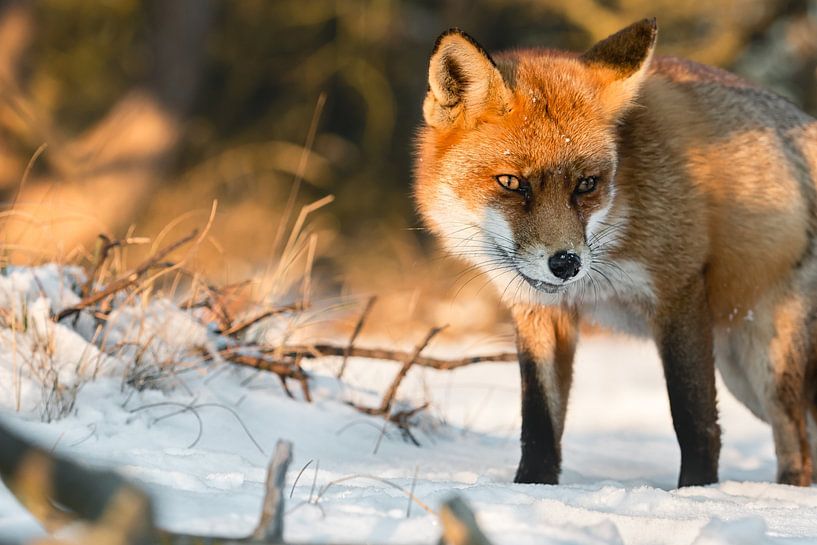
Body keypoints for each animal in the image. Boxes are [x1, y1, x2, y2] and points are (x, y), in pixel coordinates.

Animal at [413, 18, 817, 488]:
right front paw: (532, 487)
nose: (565, 263)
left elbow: (695, 420)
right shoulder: (539, 310)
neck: (619, 217)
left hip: (767, 367)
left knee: (796, 449)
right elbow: (539, 423)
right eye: (512, 182)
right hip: (744, 375)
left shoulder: (678, 290)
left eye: (586, 184)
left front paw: (696, 491)